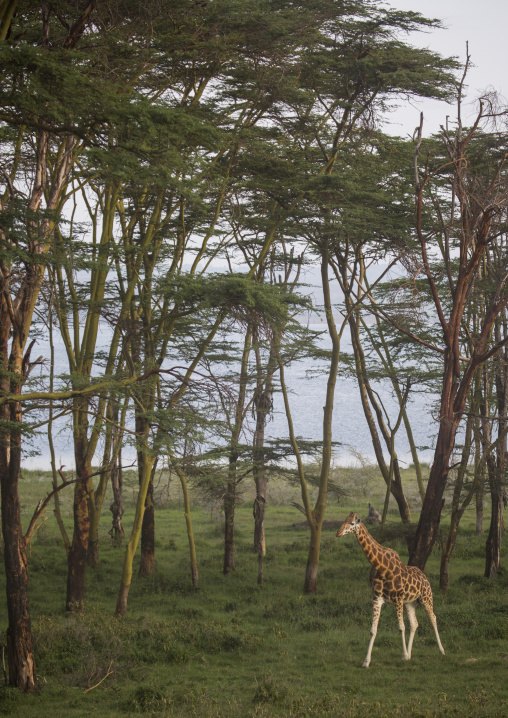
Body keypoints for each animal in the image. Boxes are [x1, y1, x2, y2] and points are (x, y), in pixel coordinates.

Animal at [336, 511, 445, 668]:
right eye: (344, 520)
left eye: (352, 523)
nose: (338, 533)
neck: (382, 568)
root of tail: (425, 577)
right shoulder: (377, 599)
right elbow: (373, 630)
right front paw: (366, 661)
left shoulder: (397, 599)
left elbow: (401, 627)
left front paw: (403, 656)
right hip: (410, 602)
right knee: (414, 623)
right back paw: (410, 654)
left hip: (426, 598)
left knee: (433, 618)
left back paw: (441, 650)